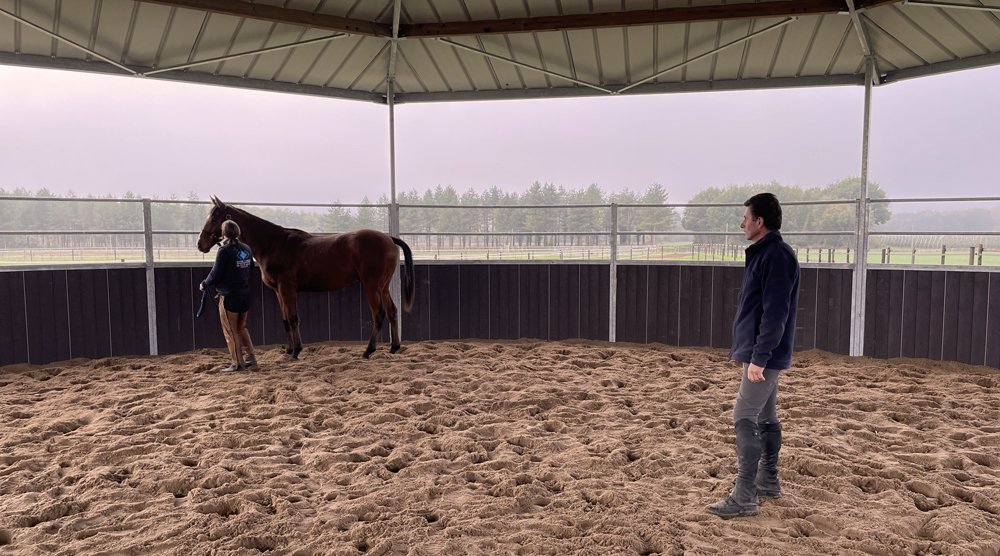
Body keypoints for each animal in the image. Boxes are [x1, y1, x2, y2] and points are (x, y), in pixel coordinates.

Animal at [197, 197, 415, 359]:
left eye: (215, 217)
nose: (201, 244)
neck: (274, 244)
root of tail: (388, 238)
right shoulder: (279, 292)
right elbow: (286, 320)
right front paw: (289, 350)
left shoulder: (288, 290)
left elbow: (294, 319)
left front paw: (296, 351)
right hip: (383, 287)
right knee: (392, 311)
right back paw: (394, 347)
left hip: (371, 286)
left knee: (379, 314)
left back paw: (368, 351)